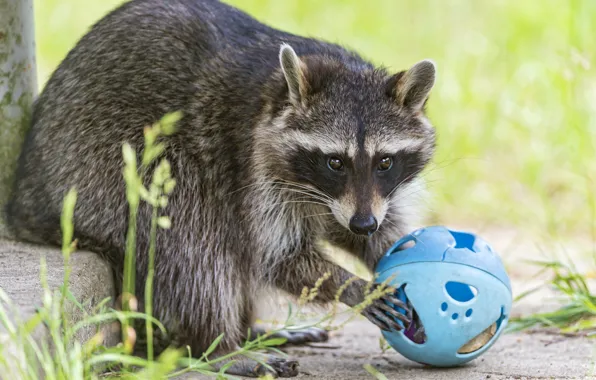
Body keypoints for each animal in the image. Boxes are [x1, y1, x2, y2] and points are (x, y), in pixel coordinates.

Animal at [5, 0, 438, 376]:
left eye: (385, 162)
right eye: (335, 162)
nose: (364, 224)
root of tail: (26, 201)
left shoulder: (361, 199)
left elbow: (369, 226)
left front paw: (386, 244)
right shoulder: (253, 168)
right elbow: (275, 256)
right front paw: (352, 286)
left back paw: (249, 330)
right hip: (103, 170)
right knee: (195, 241)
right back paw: (218, 346)